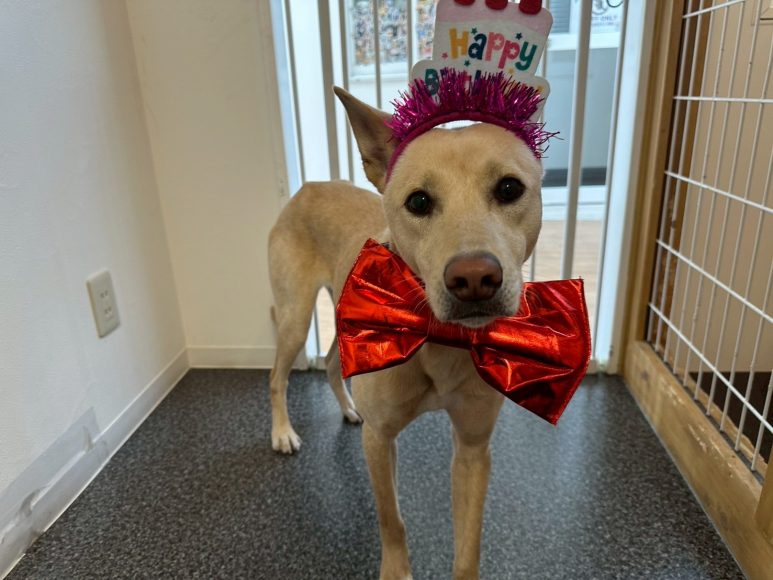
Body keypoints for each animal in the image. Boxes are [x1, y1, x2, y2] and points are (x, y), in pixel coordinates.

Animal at [268, 87, 542, 579]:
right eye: (418, 202)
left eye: (509, 188)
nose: (475, 279)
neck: (442, 342)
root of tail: (309, 187)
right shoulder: (380, 441)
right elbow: (391, 519)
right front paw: (396, 569)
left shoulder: (473, 448)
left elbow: (468, 546)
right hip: (295, 318)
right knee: (276, 376)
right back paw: (282, 432)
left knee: (331, 365)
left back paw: (347, 408)